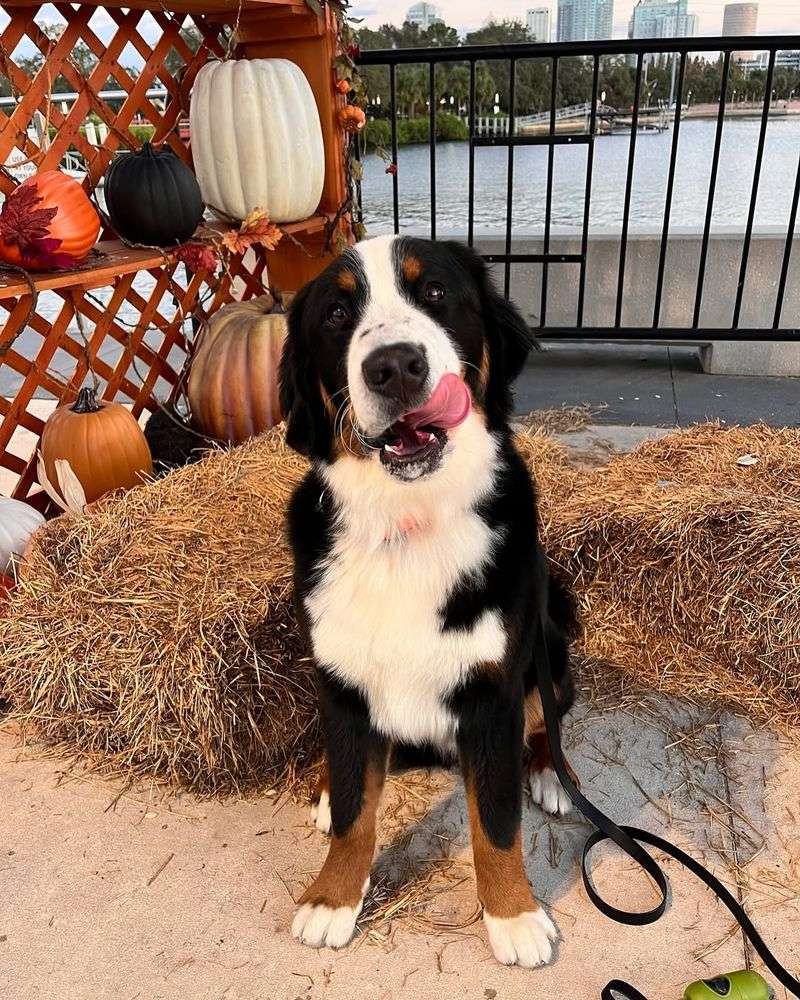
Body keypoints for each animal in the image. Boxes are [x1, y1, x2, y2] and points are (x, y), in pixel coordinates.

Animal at [280, 234, 576, 968]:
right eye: (336, 314)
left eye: (436, 293)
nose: (393, 367)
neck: (406, 523)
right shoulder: (342, 681)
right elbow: (355, 814)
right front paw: (332, 897)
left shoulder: (492, 691)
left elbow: (496, 821)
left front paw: (513, 914)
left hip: (550, 642)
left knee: (548, 720)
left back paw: (550, 774)